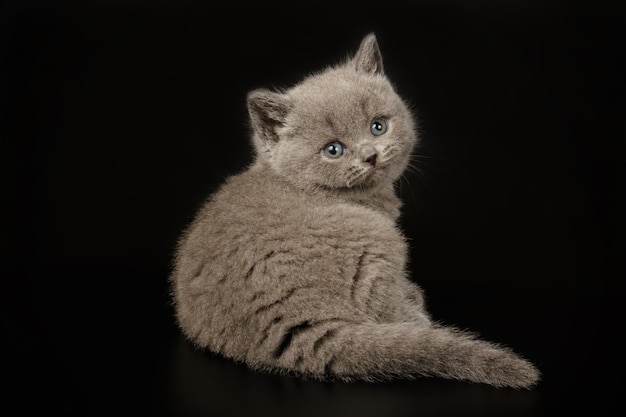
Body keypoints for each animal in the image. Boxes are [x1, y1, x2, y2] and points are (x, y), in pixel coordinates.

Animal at [168, 34, 540, 388]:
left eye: (378, 126)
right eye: (333, 150)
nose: (370, 155)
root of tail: (290, 322)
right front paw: (412, 299)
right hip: (378, 237)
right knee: (384, 307)